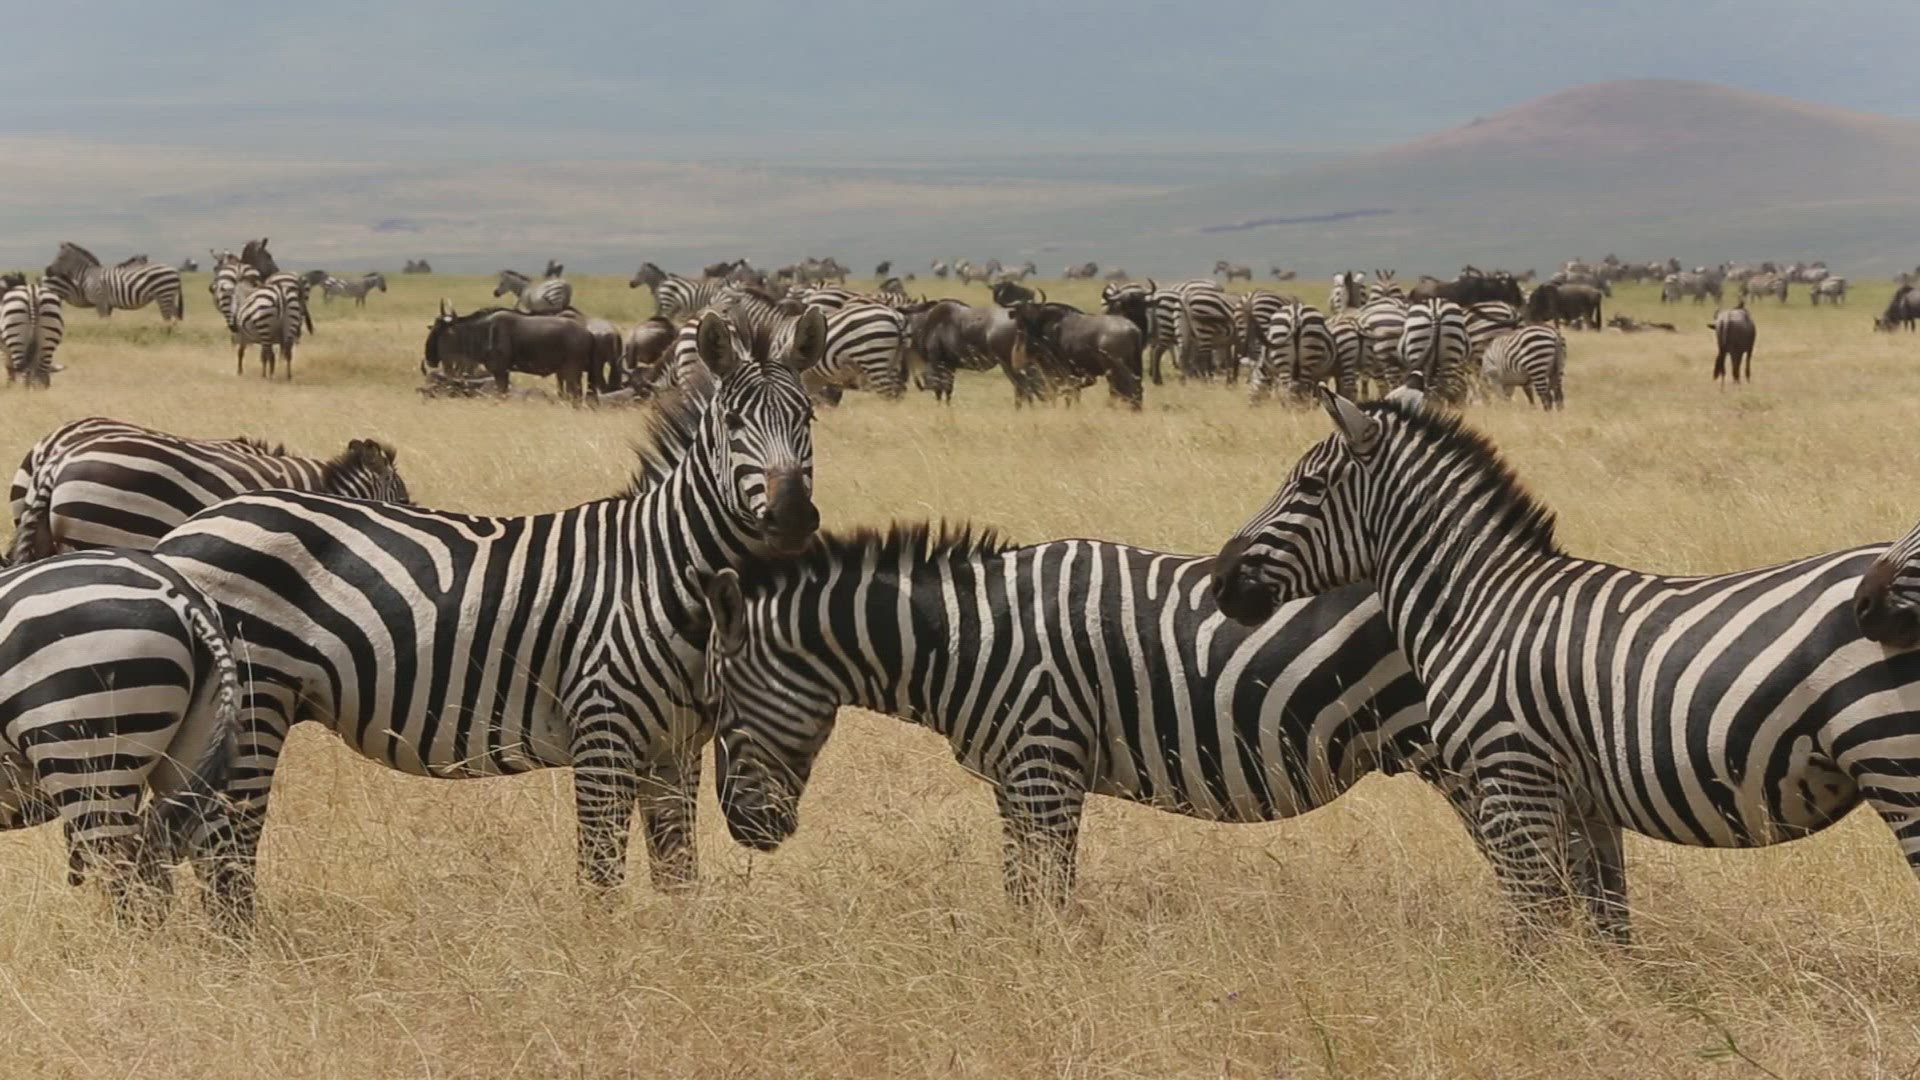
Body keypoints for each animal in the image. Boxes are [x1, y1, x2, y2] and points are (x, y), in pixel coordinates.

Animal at [43, 243, 184, 323]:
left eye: (60, 258)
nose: (47, 270)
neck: (87, 275)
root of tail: (175, 271)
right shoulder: (106, 303)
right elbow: (107, 322)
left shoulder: (100, 301)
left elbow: (104, 322)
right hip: (168, 295)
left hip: (164, 294)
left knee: (169, 318)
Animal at [149, 309, 827, 919]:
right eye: (734, 423)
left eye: (808, 418)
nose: (793, 515)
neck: (662, 567)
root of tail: (183, 534)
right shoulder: (602, 727)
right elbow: (601, 873)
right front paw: (605, 954)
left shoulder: (678, 745)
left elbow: (679, 872)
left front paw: (675, 948)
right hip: (255, 699)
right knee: (224, 846)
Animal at [693, 523, 1446, 906]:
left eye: (718, 709)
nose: (743, 831)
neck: (961, 638)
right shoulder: (1014, 779)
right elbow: (1021, 889)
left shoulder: (1045, 762)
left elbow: (1046, 897)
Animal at [1210, 389, 1920, 942]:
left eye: (1307, 486)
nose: (1220, 580)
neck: (1477, 603)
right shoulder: (1582, 798)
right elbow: (1605, 919)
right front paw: (1612, 1005)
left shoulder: (1511, 775)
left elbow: (1533, 922)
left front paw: (1530, 1009)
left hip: (1893, 759)